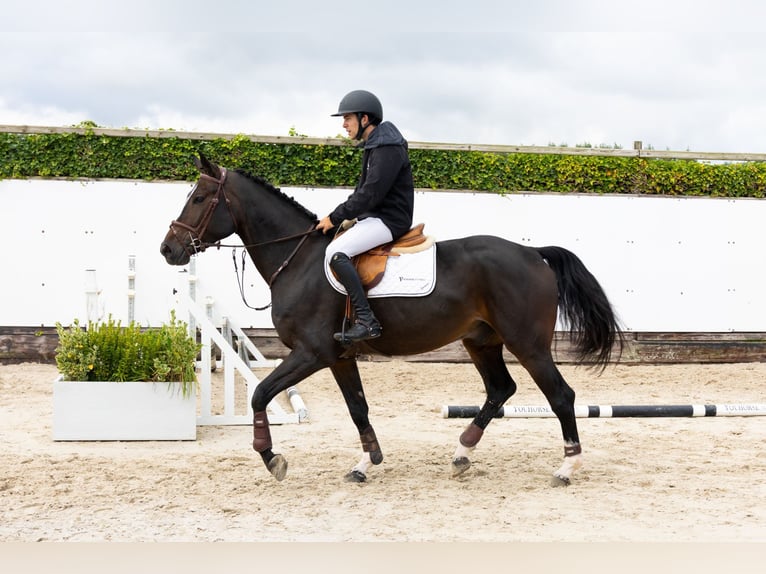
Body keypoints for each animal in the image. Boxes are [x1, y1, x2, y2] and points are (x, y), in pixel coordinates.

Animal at [160, 153, 625, 486]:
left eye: (198, 199)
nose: (168, 249)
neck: (300, 260)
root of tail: (533, 253)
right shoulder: (339, 357)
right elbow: (358, 408)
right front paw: (366, 462)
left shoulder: (312, 353)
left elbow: (260, 394)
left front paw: (272, 458)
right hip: (482, 340)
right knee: (500, 389)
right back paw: (462, 453)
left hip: (527, 344)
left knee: (560, 396)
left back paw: (566, 468)